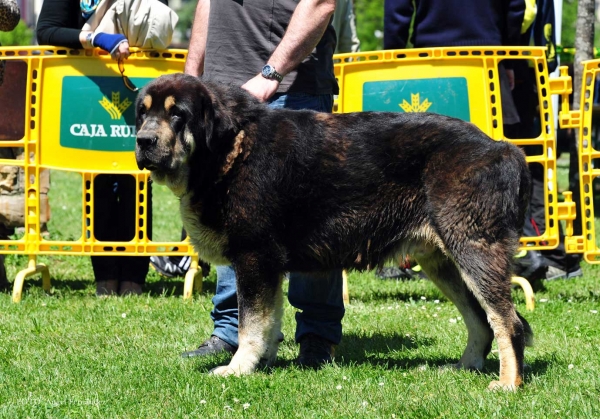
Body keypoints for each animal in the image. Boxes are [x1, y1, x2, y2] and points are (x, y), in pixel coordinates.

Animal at [136, 73, 536, 390]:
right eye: (143, 113)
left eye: (177, 114)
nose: (143, 141)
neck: (230, 147)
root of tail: (504, 148)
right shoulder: (268, 266)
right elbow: (269, 321)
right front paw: (264, 364)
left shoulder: (253, 258)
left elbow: (250, 324)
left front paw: (239, 369)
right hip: (443, 260)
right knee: (480, 320)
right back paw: (465, 367)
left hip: (473, 251)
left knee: (507, 322)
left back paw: (508, 383)